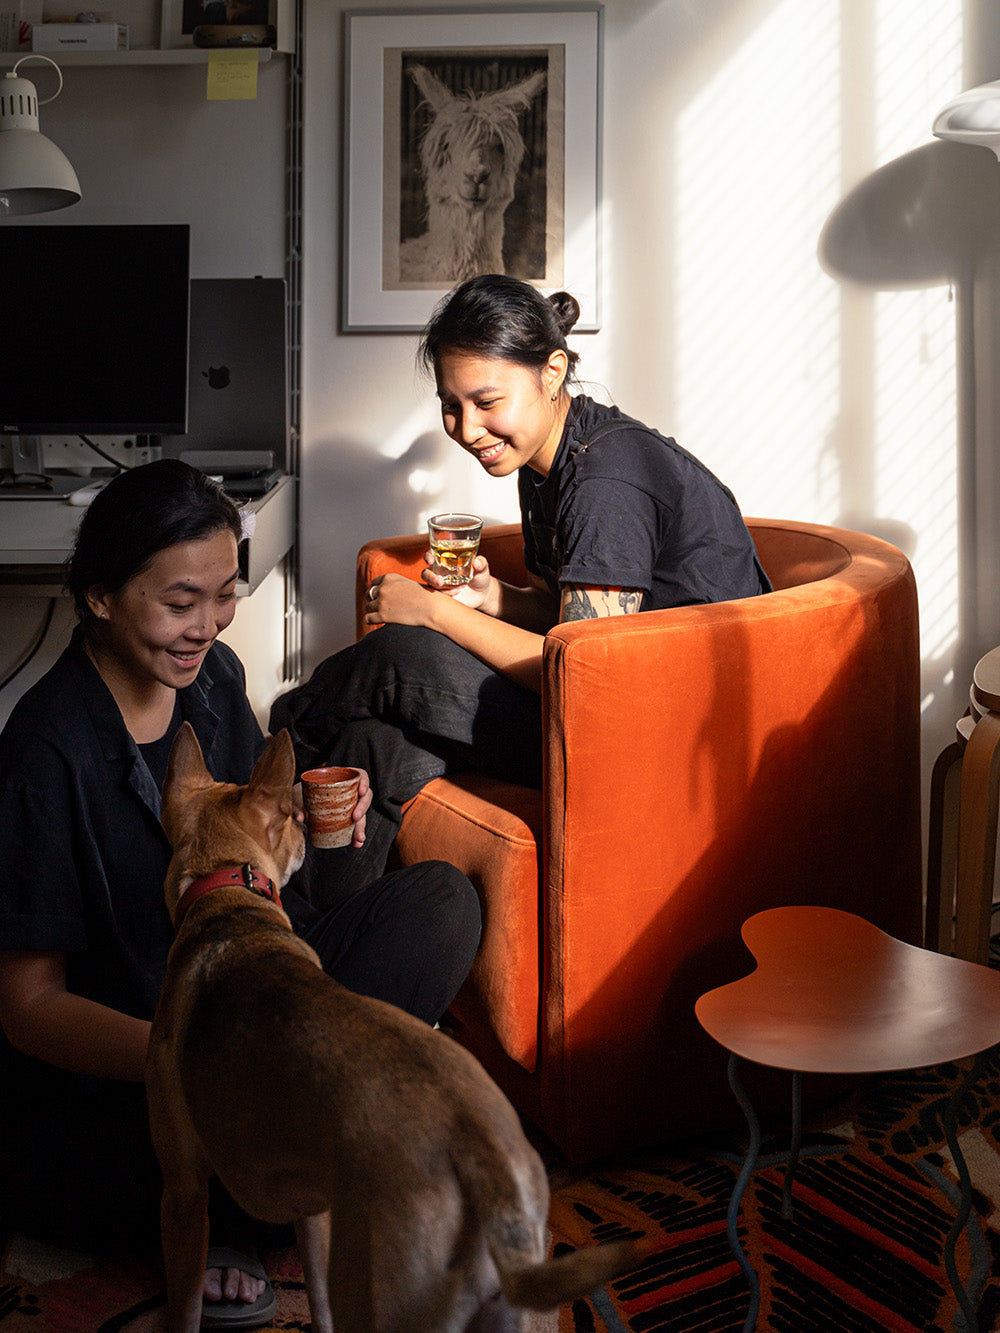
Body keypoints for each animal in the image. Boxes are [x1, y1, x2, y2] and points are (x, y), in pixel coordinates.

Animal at [146, 725, 650, 1327]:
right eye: (291, 821)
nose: (305, 833)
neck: (227, 901)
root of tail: (479, 1153)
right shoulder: (313, 1209)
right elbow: (318, 1301)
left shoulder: (181, 1192)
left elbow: (184, 1310)